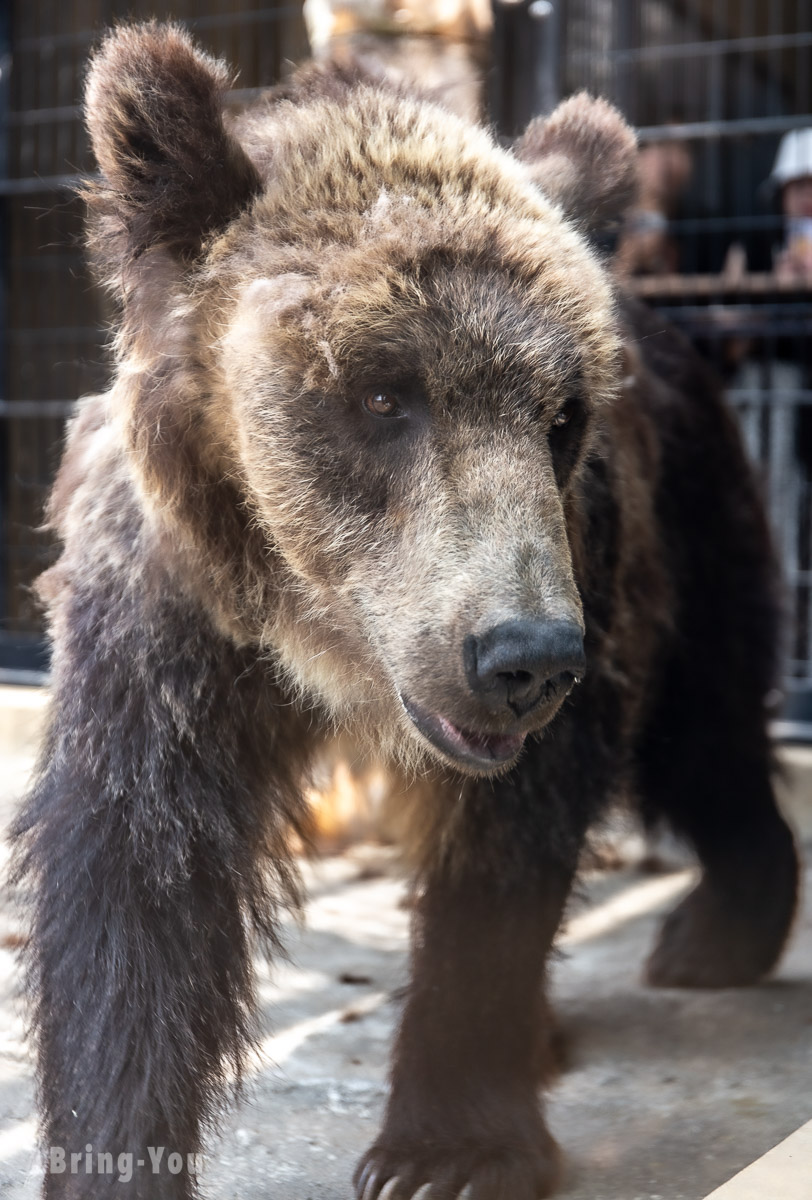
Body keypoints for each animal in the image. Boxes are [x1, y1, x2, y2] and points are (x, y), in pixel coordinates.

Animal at [11, 18, 796, 1200]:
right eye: (383, 394)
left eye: (560, 415)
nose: (523, 657)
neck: (314, 640)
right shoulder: (165, 619)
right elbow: (134, 873)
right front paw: (115, 1151)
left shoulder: (581, 562)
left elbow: (500, 856)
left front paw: (448, 1149)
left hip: (689, 522)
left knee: (703, 722)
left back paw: (715, 931)